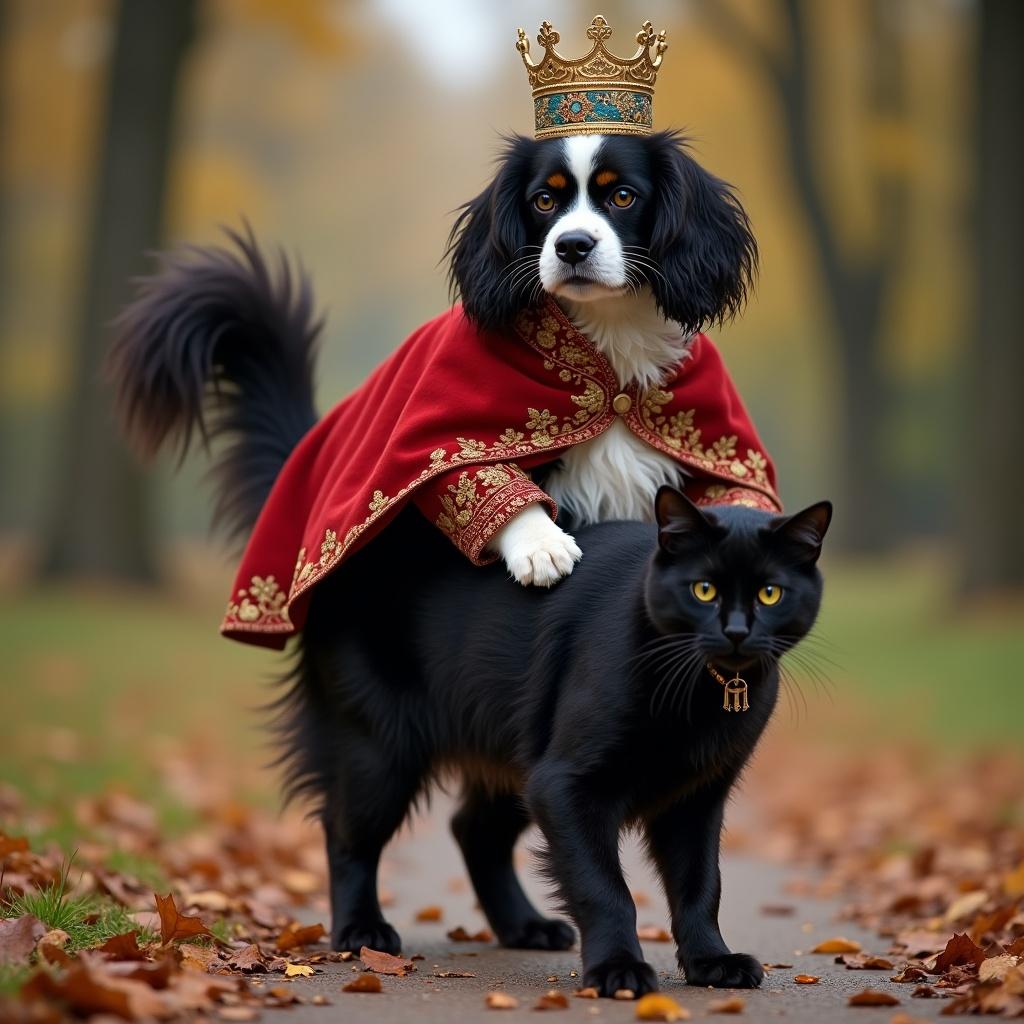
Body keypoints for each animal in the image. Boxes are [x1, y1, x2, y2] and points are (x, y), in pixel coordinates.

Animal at [278, 485, 823, 991]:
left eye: (770, 594)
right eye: (704, 590)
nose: (736, 632)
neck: (694, 690)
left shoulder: (696, 797)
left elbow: (701, 886)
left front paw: (712, 961)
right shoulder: (565, 784)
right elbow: (604, 889)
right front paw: (617, 970)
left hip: (514, 756)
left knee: (473, 832)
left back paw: (524, 927)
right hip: (382, 752)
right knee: (346, 834)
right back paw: (360, 931)